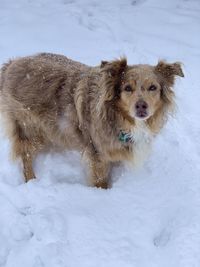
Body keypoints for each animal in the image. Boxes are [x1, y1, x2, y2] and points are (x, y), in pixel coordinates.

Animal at [0, 52, 184, 188]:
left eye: (153, 87)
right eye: (127, 88)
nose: (141, 106)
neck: (119, 119)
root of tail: (11, 64)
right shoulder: (98, 155)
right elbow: (101, 181)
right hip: (30, 129)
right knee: (26, 157)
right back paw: (31, 180)